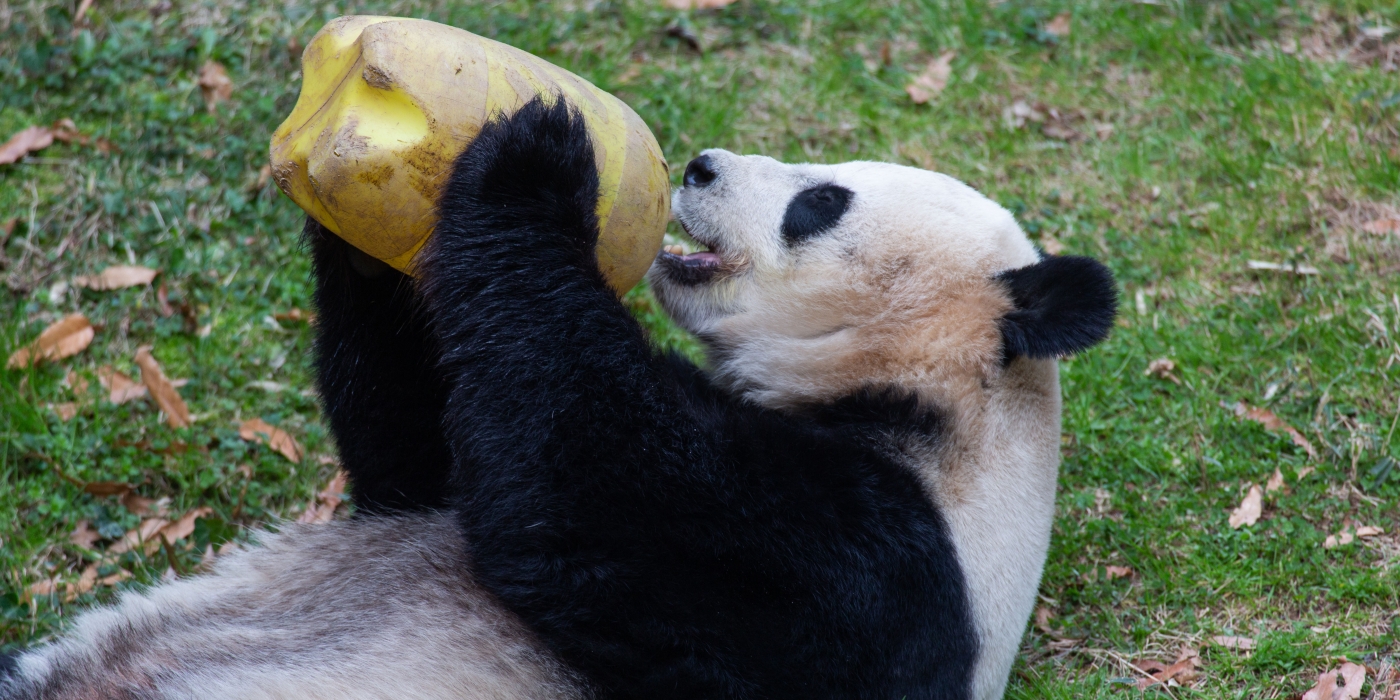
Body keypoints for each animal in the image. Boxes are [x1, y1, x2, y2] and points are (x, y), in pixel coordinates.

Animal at [0, 100, 1114, 700]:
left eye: (819, 202)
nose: (700, 166)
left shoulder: (871, 577)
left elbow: (579, 494)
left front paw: (533, 161)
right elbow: (426, 454)